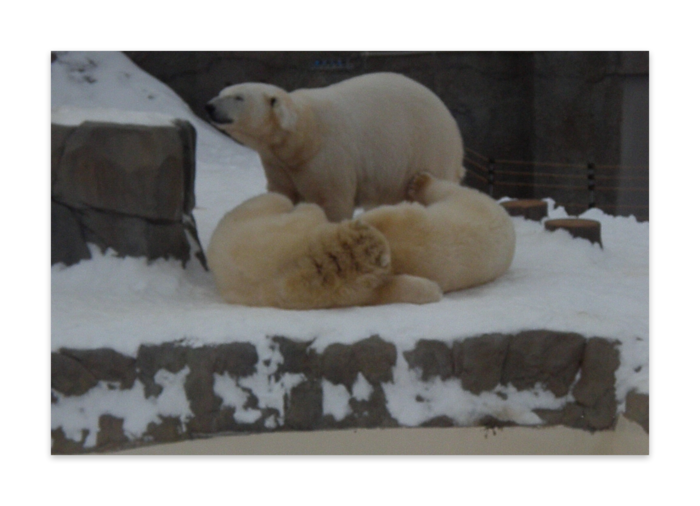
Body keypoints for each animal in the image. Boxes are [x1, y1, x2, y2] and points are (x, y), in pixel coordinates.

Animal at [204, 72, 464, 221]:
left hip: (429, 147)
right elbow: (282, 192)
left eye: (238, 97)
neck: (304, 134)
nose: (210, 106)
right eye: (221, 92)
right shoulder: (277, 161)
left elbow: (332, 201)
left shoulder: (328, 157)